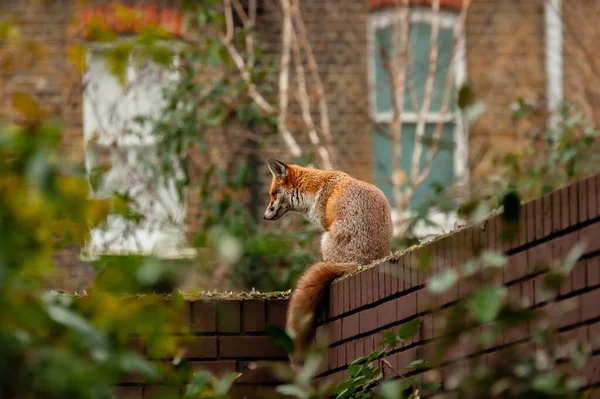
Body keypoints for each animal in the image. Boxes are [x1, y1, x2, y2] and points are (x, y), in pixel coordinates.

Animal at [262, 158, 394, 368]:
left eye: (273, 194)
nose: (264, 216)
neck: (316, 190)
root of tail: (361, 263)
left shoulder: (325, 225)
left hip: (324, 240)